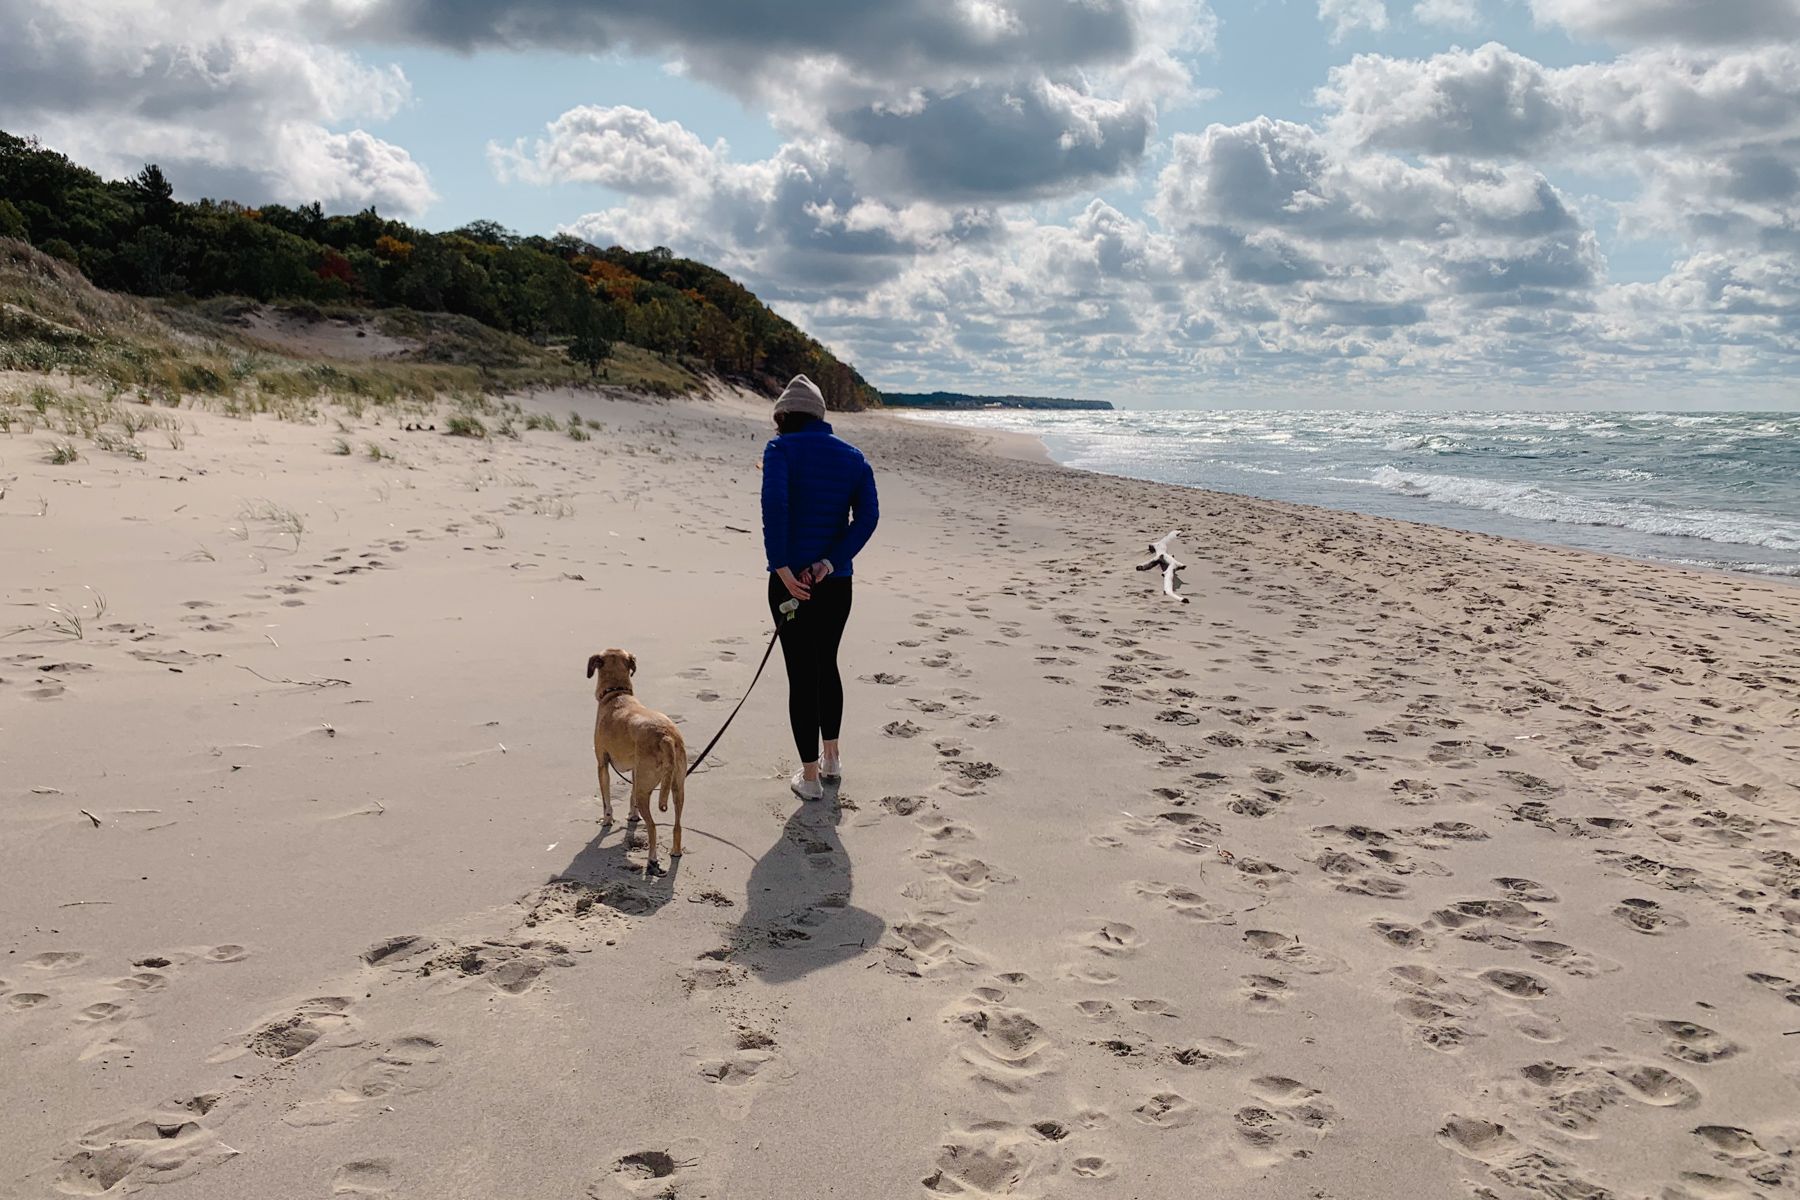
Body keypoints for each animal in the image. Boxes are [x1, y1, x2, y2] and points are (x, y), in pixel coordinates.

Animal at [586, 651, 684, 877]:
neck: (617, 693)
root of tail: (666, 736)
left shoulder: (602, 764)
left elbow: (606, 800)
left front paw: (607, 820)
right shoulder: (635, 770)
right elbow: (630, 797)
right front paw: (632, 815)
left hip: (645, 789)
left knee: (653, 827)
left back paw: (652, 860)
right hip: (677, 787)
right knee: (677, 824)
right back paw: (675, 851)